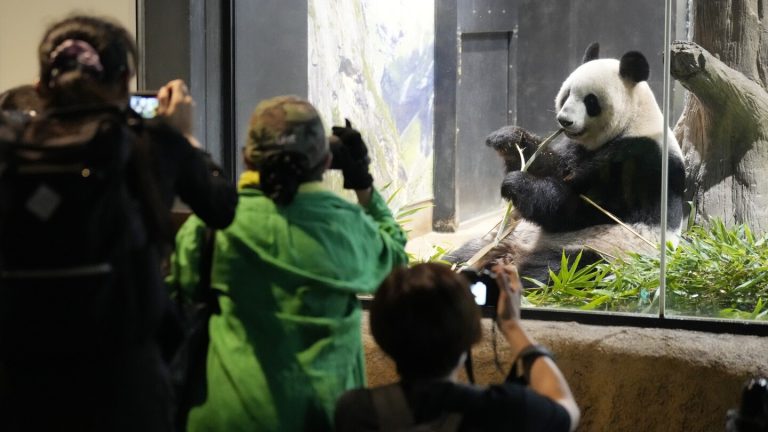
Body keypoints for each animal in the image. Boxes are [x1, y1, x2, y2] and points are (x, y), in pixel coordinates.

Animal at [447, 43, 686, 286]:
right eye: (566, 94)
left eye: (591, 101)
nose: (564, 120)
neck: (634, 121)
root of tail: (513, 252)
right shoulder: (576, 148)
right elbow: (555, 167)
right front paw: (509, 139)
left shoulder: (640, 162)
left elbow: (581, 208)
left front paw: (517, 184)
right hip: (506, 237)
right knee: (466, 252)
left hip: (603, 251)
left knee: (561, 268)